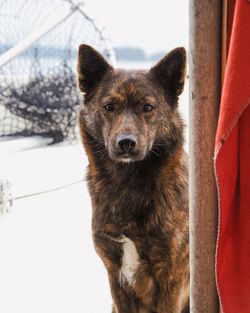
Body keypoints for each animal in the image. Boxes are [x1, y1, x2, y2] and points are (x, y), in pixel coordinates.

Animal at [77, 44, 188, 312]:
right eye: (109, 106)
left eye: (147, 107)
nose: (126, 143)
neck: (127, 182)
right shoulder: (115, 276)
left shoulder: (171, 277)